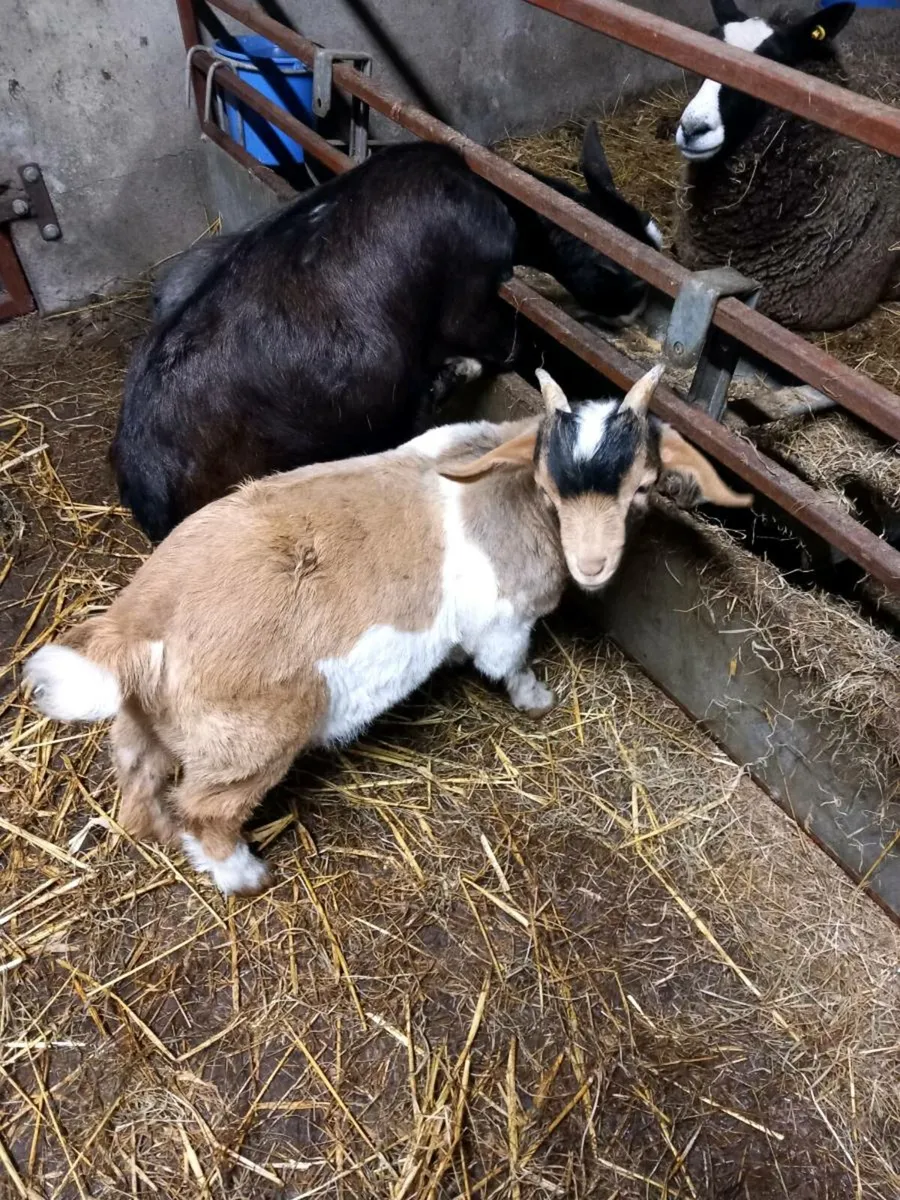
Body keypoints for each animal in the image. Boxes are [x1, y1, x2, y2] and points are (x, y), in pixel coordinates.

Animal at [27, 366, 752, 896]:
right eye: (548, 486)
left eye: (643, 487)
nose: (594, 566)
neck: (501, 484)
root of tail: (138, 629)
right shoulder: (503, 621)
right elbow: (511, 664)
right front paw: (537, 699)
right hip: (249, 741)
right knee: (206, 810)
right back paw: (243, 874)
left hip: (146, 727)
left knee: (140, 793)